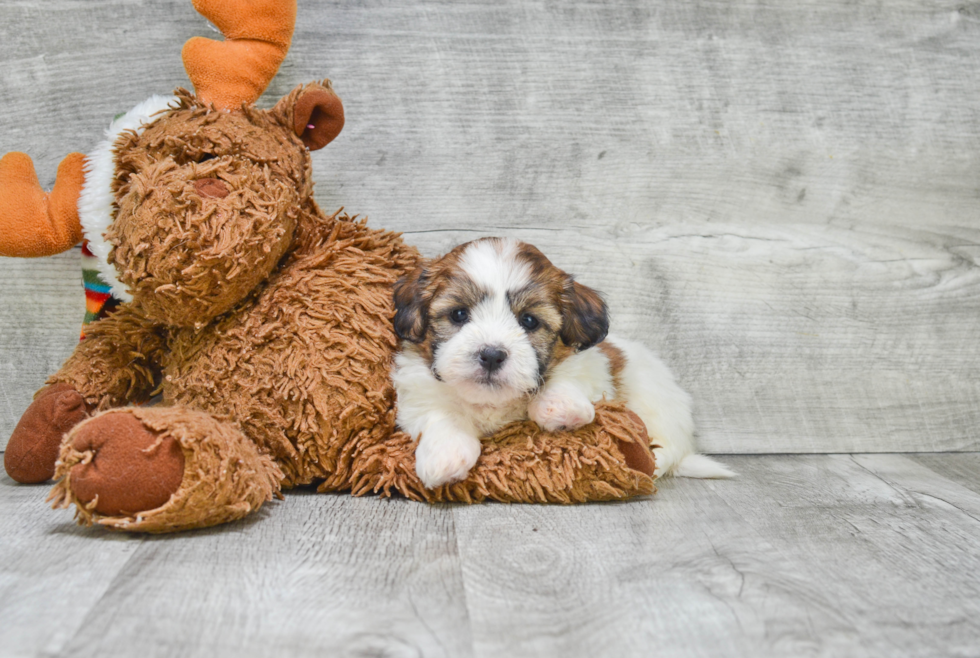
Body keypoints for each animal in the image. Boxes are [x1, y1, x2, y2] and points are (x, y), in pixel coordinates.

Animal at [386, 237, 732, 486]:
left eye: (529, 321)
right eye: (458, 314)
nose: (492, 354)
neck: (494, 402)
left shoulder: (590, 366)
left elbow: (568, 376)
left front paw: (558, 406)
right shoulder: (417, 392)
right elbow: (440, 413)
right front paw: (446, 455)